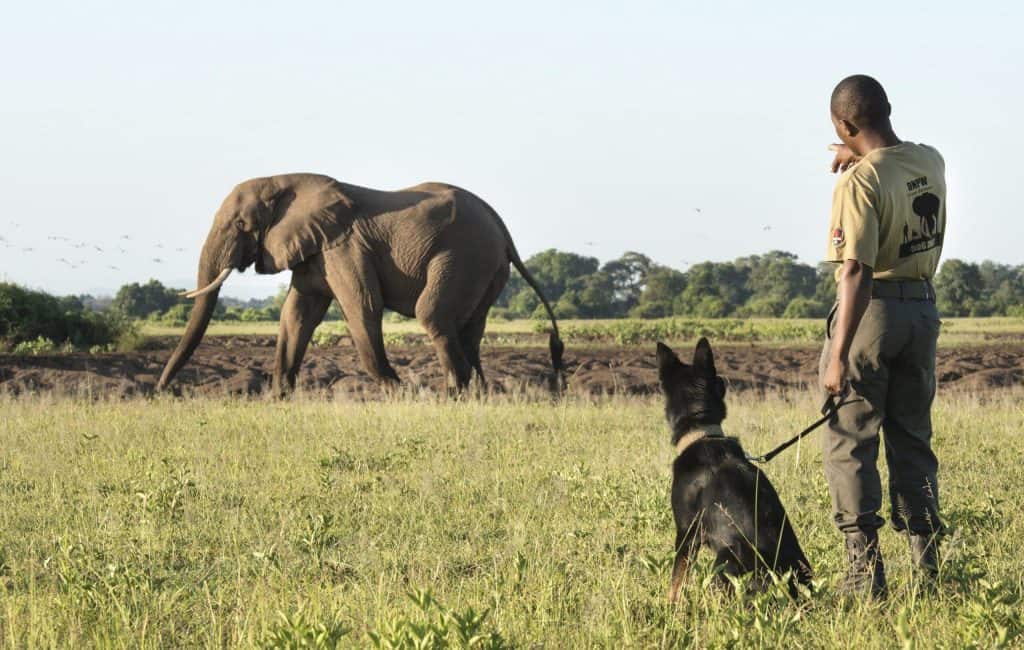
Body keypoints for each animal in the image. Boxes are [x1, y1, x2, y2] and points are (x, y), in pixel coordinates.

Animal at [155, 172, 565, 395]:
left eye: (241, 225)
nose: (162, 392)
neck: (288, 181)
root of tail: (502, 228)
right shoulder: (316, 249)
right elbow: (297, 314)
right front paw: (278, 397)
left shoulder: (344, 246)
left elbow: (362, 308)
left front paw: (402, 393)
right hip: (486, 269)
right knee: (469, 329)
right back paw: (478, 395)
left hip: (465, 255)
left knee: (433, 315)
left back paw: (452, 395)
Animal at [659, 337, 811, 601]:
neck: (702, 433)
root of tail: (788, 589)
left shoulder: (686, 533)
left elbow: (676, 583)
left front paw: (669, 607)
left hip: (726, 557)